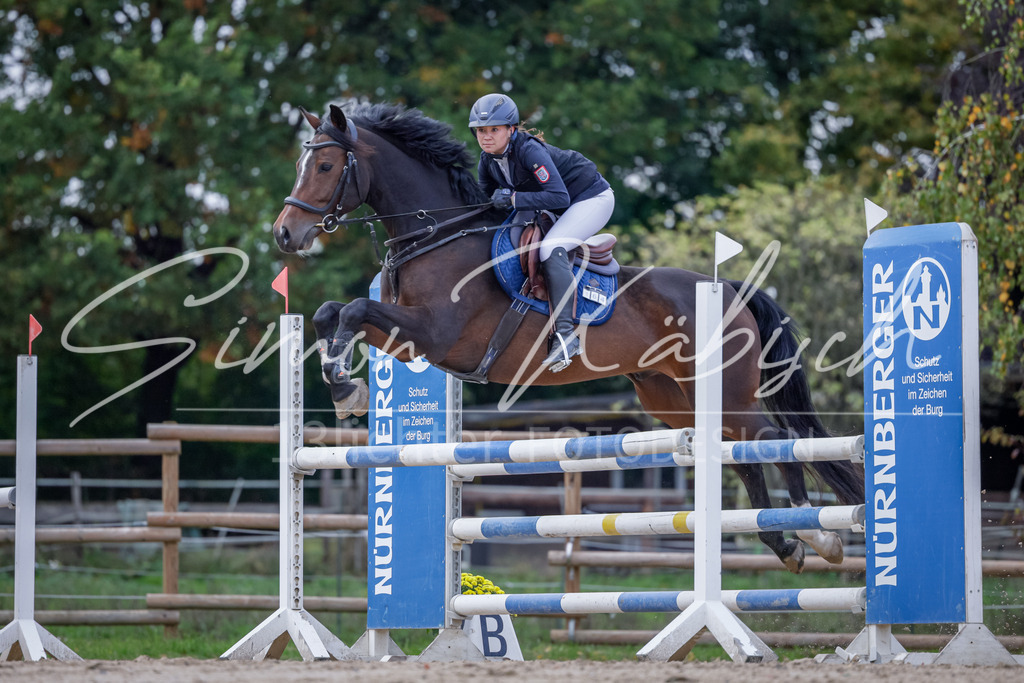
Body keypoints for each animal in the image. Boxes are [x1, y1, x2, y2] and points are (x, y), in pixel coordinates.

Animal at [272, 102, 864, 573]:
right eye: (301, 165)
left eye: (325, 165)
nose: (284, 234)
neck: (438, 234)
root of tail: (732, 290)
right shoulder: (407, 334)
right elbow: (330, 312)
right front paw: (345, 388)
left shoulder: (435, 335)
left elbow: (354, 308)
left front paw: (345, 388)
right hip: (675, 396)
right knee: (742, 451)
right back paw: (785, 543)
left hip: (727, 391)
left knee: (772, 437)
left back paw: (815, 532)